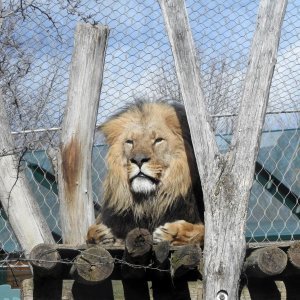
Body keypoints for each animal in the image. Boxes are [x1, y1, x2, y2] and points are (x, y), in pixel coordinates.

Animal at [85, 101, 205, 246]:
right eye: (130, 142)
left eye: (158, 140)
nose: (138, 160)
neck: (148, 203)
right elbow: (90, 232)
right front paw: (100, 234)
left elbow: (199, 231)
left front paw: (169, 232)